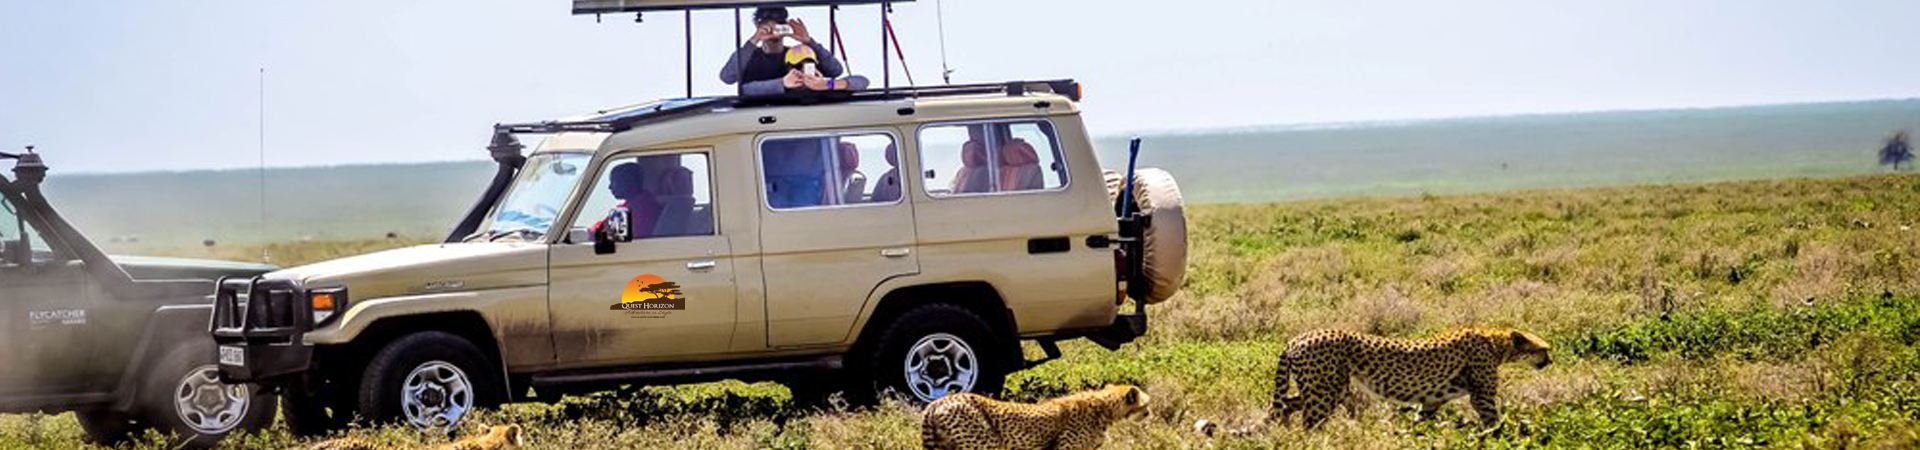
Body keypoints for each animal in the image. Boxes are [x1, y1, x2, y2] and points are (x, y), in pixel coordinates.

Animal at [920, 384, 1151, 450]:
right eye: (1146, 405)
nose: (1150, 414)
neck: (1104, 408)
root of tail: (936, 402)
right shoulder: (1064, 448)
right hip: (986, 445)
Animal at [1197, 328, 1551, 436]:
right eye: (1543, 349)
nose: (1550, 360)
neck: (1498, 342)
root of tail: (1297, 337)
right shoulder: (1483, 396)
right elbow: (1494, 420)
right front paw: (1501, 436)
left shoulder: (1432, 400)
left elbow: (1421, 420)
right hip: (1327, 391)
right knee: (1309, 424)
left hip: (1322, 388)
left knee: (1286, 406)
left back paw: (1282, 428)